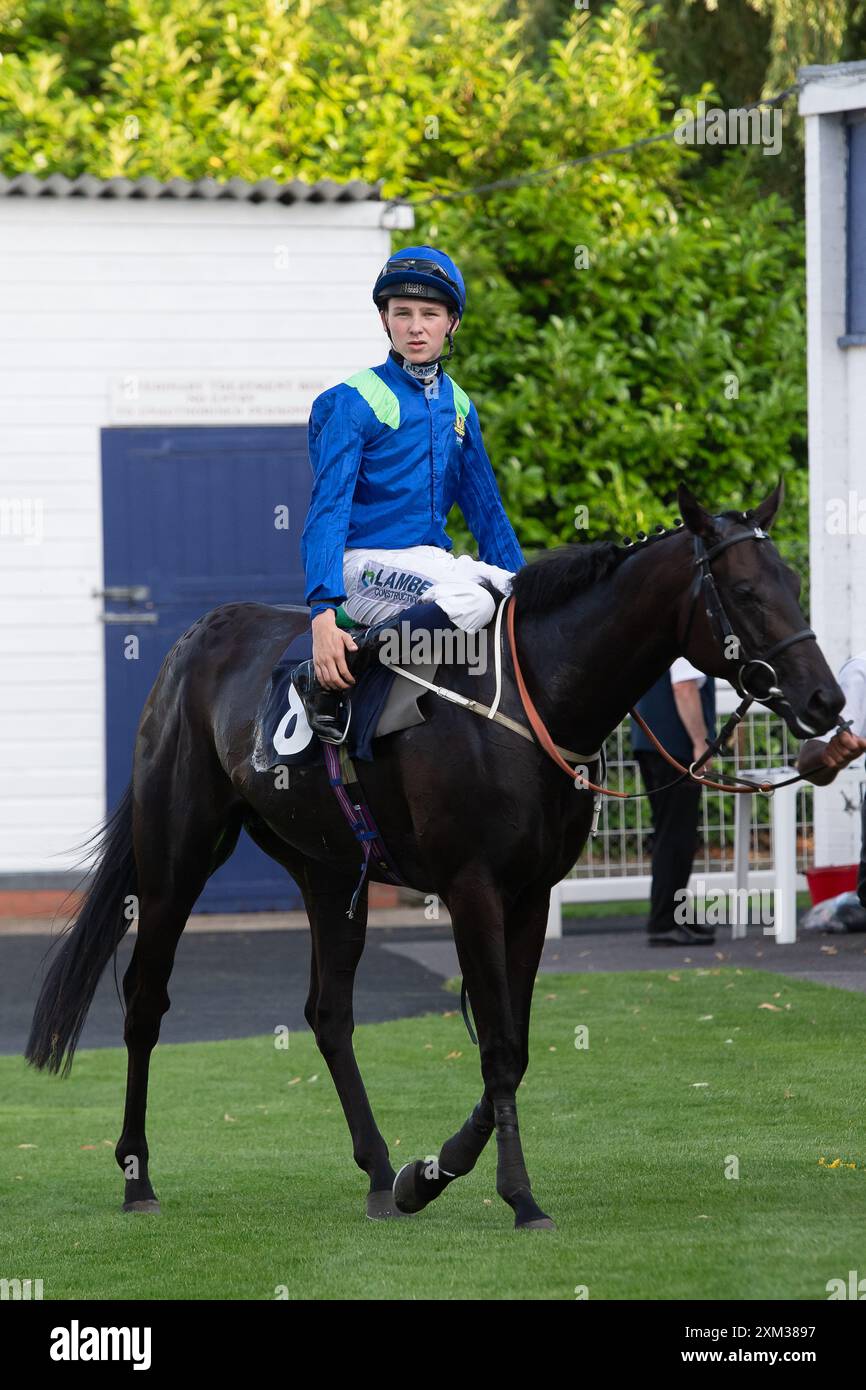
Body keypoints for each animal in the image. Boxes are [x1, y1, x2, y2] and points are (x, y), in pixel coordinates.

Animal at [28, 483, 845, 1234]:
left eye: (794, 583)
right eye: (746, 592)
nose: (826, 701)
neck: (529, 699)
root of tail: (198, 636)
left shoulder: (531, 894)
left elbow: (513, 1044)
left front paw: (427, 1175)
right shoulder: (473, 889)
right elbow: (501, 1048)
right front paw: (518, 1197)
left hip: (328, 869)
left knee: (329, 1013)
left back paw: (377, 1171)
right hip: (177, 855)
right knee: (145, 1000)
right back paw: (137, 1177)